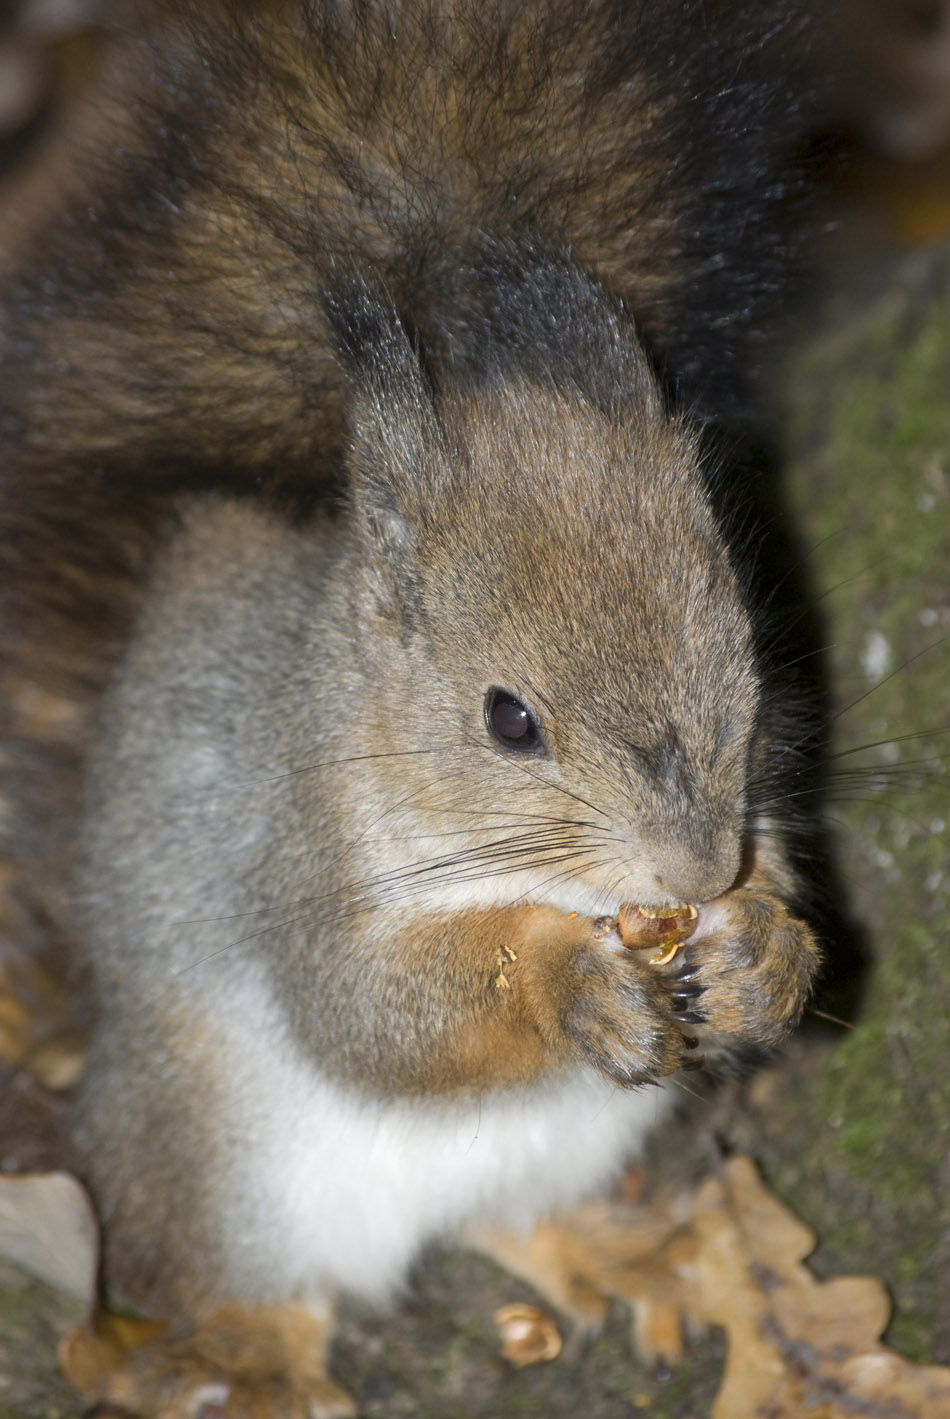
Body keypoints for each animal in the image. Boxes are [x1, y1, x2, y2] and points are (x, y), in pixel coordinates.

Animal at [0, 2, 823, 1419]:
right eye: (506, 719)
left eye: (741, 638)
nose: (691, 872)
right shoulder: (296, 853)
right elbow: (366, 1010)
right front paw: (566, 985)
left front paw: (763, 948)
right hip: (221, 1167)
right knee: (232, 1277)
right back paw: (261, 1363)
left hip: (567, 1140)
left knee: (504, 1220)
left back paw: (615, 1253)